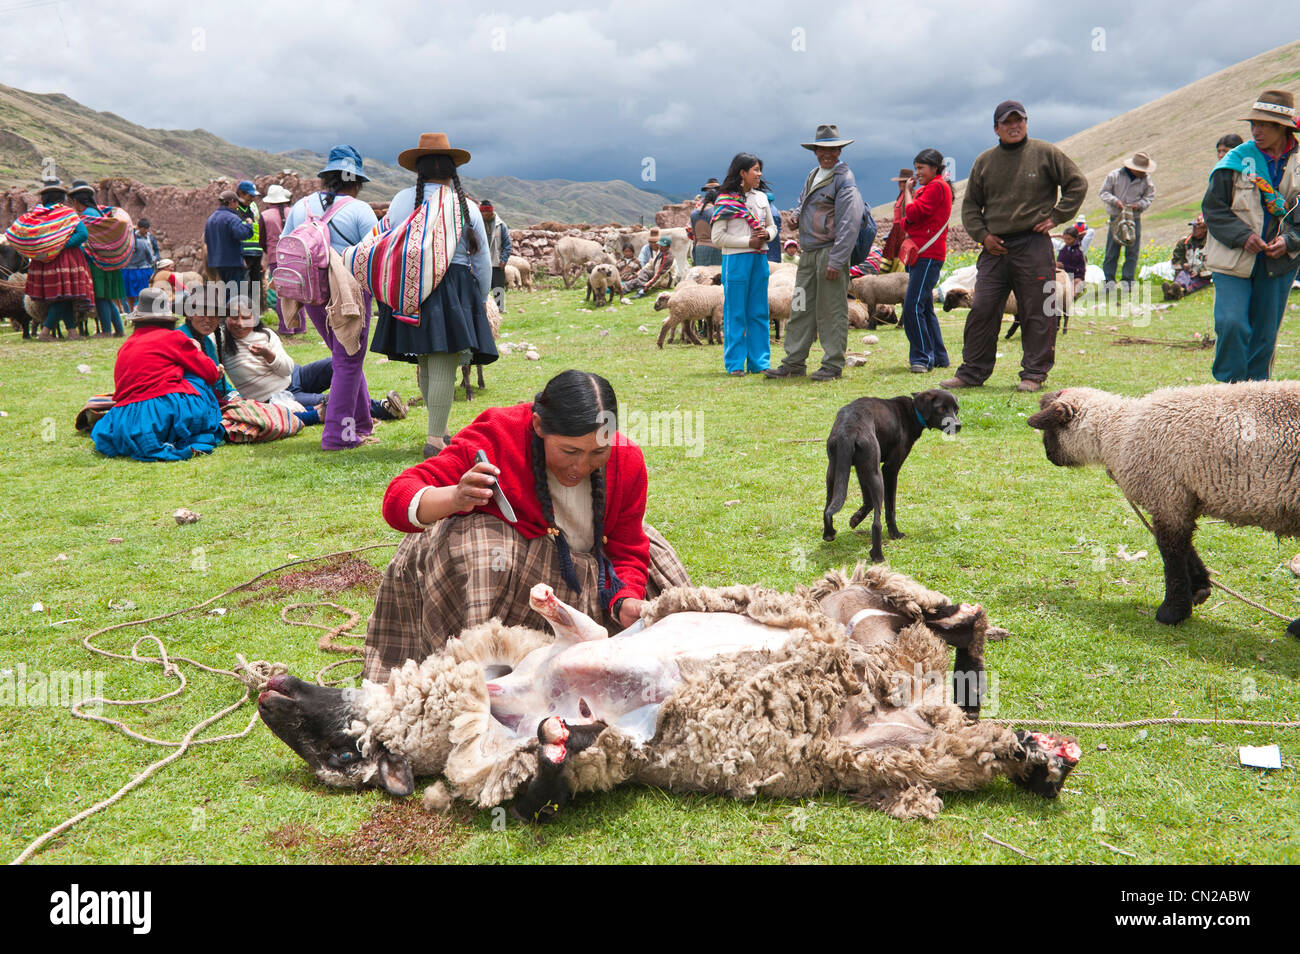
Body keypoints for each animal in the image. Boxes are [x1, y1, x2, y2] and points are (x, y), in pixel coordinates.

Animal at [826, 392, 961, 564]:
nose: (958, 425)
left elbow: (868, 502)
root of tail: (848, 429)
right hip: (876, 476)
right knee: (876, 523)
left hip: (835, 472)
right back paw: (878, 555)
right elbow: (890, 508)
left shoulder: (862, 469)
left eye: (956, 409)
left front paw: (855, 519)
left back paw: (828, 533)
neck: (913, 410)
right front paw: (895, 534)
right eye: (941, 408)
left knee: (827, 508)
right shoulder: (890, 470)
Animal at [1024, 382, 1300, 634]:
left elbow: (1172, 554)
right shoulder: (1181, 499)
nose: (1049, 456)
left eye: (1048, 430)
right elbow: (1185, 547)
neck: (1117, 433)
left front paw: (1172, 612)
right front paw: (1200, 588)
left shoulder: (1167, 495)